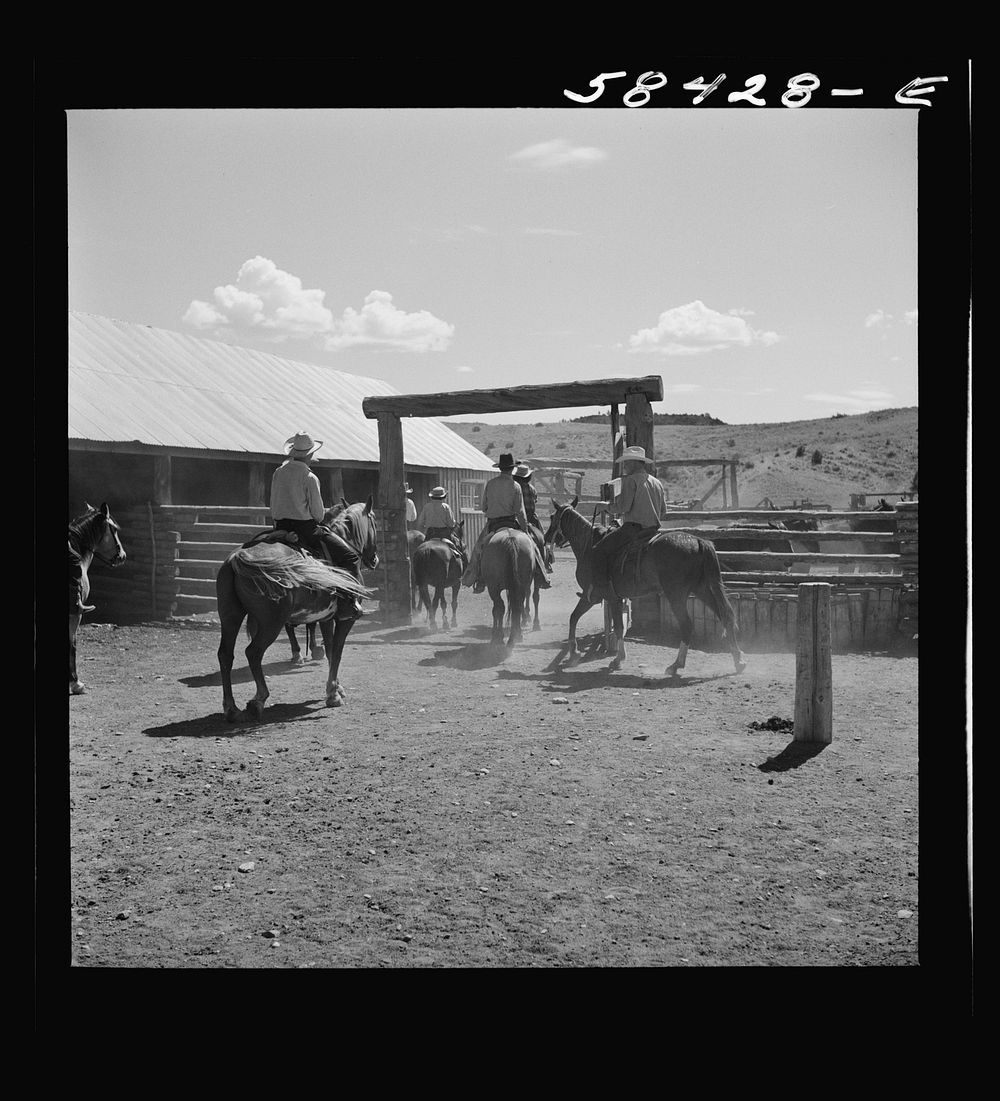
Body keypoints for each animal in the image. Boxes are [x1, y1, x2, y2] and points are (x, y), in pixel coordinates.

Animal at [216, 499, 376, 722]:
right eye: (374, 522)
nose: (374, 558)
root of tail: (237, 558)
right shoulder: (346, 619)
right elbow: (336, 652)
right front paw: (333, 695)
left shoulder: (326, 618)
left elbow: (329, 650)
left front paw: (336, 687)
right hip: (271, 623)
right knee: (253, 652)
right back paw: (258, 700)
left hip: (230, 617)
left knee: (225, 655)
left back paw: (231, 708)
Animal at [544, 495, 744, 673]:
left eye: (552, 517)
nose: (546, 537)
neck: (589, 546)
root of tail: (699, 541)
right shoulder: (614, 598)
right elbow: (610, 625)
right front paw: (614, 658)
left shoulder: (594, 596)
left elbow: (577, 619)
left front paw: (577, 654)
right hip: (702, 589)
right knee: (726, 615)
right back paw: (738, 660)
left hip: (676, 595)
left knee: (687, 625)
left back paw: (676, 665)